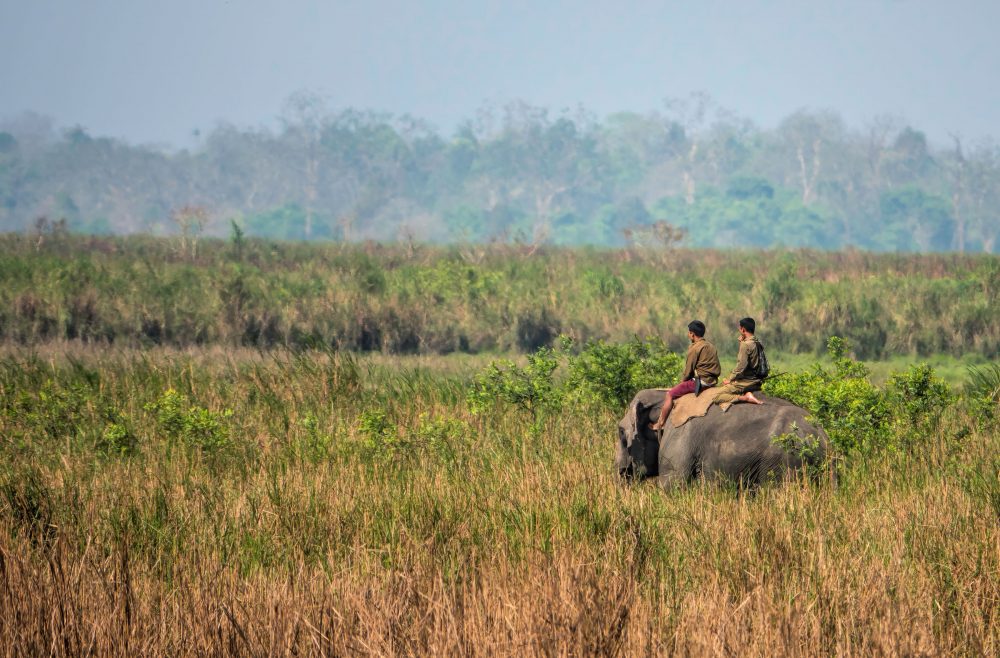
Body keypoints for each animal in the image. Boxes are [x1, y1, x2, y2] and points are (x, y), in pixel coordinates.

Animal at [612, 386, 832, 490]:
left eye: (621, 432)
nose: (620, 470)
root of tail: (819, 437)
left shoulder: (679, 436)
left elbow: (674, 484)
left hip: (782, 462)